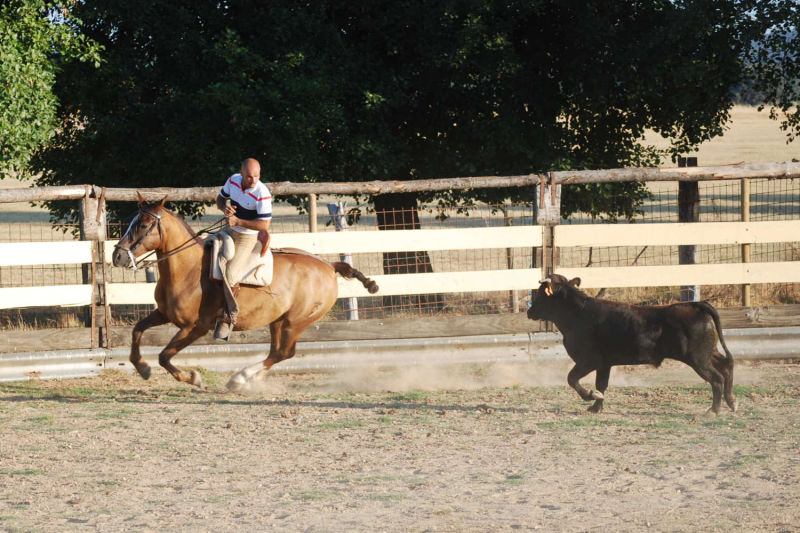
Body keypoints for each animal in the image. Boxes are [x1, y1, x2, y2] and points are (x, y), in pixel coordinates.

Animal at [110, 194, 382, 390]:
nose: (118, 255)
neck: (188, 270)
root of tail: (328, 266)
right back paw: (247, 378)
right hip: (278, 320)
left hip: (296, 321)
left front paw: (193, 378)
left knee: (284, 352)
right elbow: (137, 332)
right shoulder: (163, 314)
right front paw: (142, 367)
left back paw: (239, 378)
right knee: (277, 352)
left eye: (144, 224)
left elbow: (164, 357)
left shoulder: (195, 327)